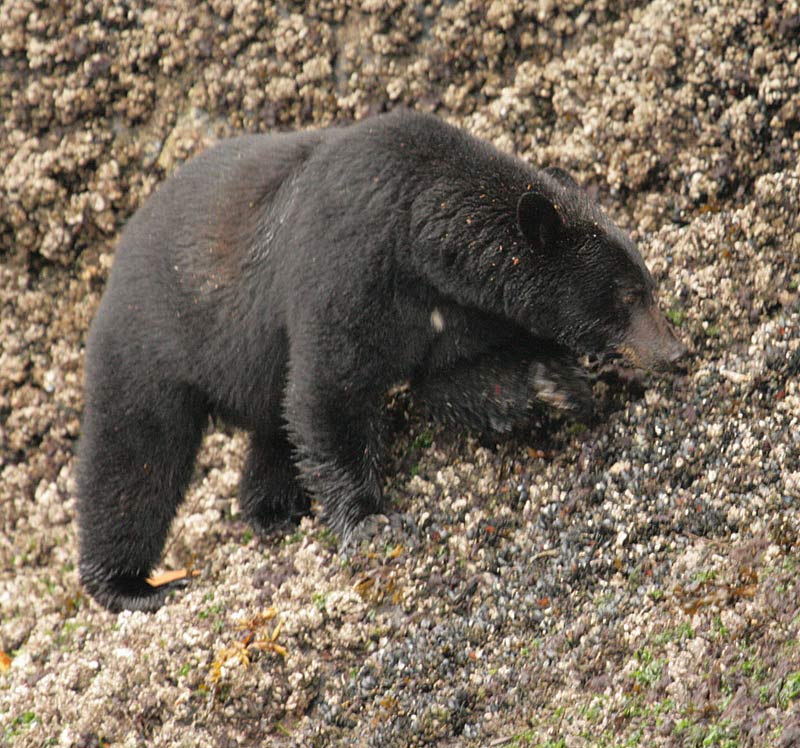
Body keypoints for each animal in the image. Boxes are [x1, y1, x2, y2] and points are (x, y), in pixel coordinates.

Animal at [76, 108, 688, 612]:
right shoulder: (346, 269)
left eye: (648, 286)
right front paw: (370, 520)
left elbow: (455, 381)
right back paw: (129, 584)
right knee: (135, 454)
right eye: (628, 295)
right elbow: (332, 389)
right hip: (151, 337)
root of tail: (122, 244)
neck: (418, 231)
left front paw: (552, 384)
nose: (677, 353)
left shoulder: (454, 313)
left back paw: (273, 511)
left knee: (272, 427)